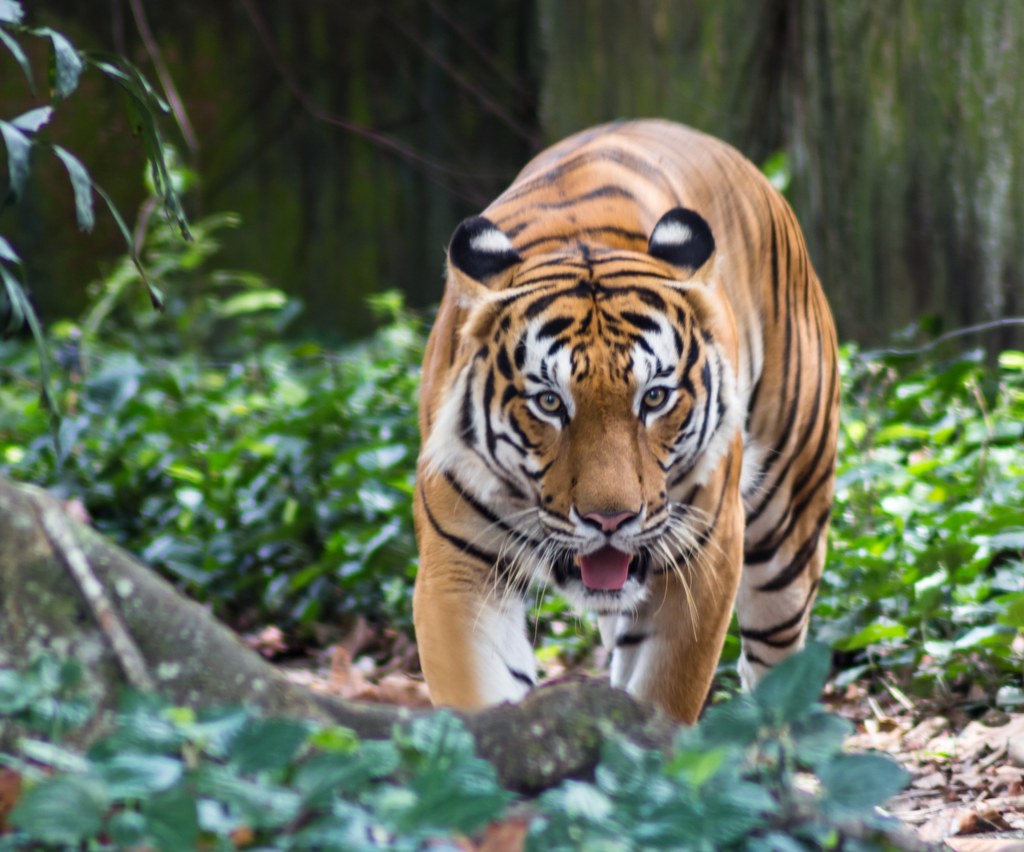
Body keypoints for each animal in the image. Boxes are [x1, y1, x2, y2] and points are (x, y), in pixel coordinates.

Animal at [411, 116, 835, 720]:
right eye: (549, 403)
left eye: (654, 398)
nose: (609, 521)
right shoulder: (459, 568)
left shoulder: (702, 554)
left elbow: (665, 692)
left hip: (787, 524)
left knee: (777, 660)